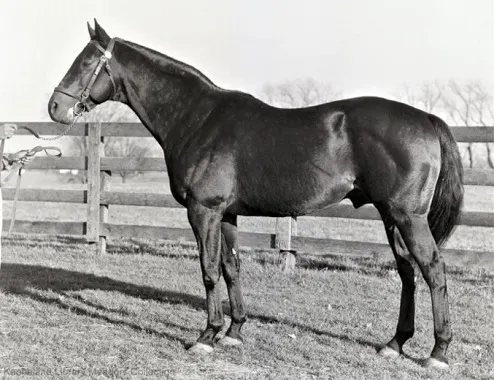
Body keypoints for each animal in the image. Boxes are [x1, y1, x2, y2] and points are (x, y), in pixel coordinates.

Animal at [46, 20, 464, 368]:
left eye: (86, 62)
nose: (55, 106)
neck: (198, 119)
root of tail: (426, 119)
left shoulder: (203, 211)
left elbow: (209, 271)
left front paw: (206, 336)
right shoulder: (227, 214)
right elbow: (231, 268)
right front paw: (234, 332)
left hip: (407, 216)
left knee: (433, 270)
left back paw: (438, 353)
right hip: (390, 216)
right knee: (408, 272)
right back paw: (395, 343)